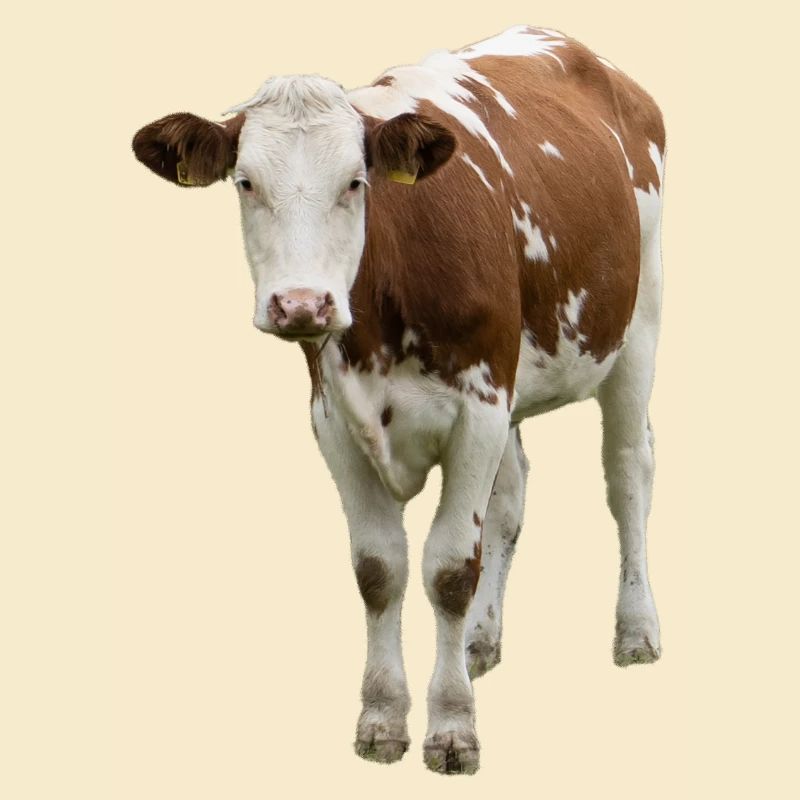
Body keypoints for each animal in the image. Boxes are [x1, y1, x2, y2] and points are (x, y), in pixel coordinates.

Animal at [132, 25, 665, 775]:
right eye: (245, 183)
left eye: (356, 183)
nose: (302, 303)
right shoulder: (333, 418)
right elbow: (379, 569)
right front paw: (383, 716)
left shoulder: (478, 406)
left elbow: (449, 568)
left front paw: (453, 728)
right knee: (512, 495)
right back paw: (480, 640)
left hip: (637, 324)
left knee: (628, 474)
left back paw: (636, 628)